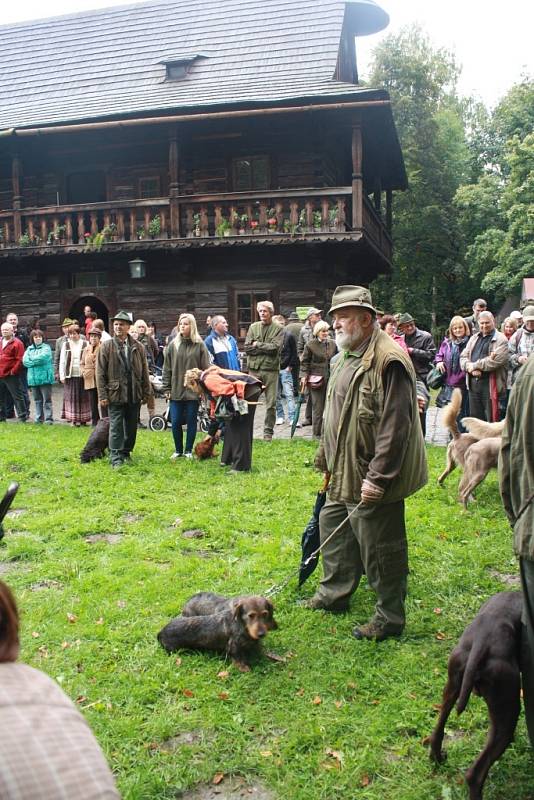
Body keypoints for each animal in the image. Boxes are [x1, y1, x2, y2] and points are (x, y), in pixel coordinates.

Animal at [432, 592, 524, 796]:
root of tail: (483, 639)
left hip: (451, 686)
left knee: (438, 728)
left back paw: (437, 757)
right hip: (507, 709)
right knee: (475, 774)